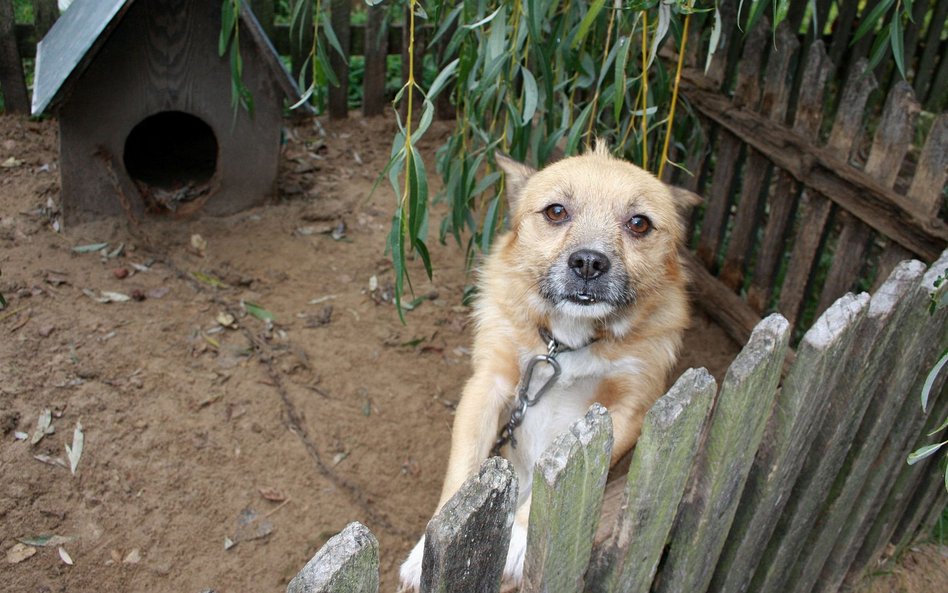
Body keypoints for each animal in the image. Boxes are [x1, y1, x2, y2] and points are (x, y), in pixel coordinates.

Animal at [400, 142, 696, 588]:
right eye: (556, 211)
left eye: (639, 223)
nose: (589, 263)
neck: (565, 343)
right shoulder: (488, 386)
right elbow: (460, 481)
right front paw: (424, 557)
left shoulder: (626, 412)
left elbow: (556, 487)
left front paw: (522, 537)